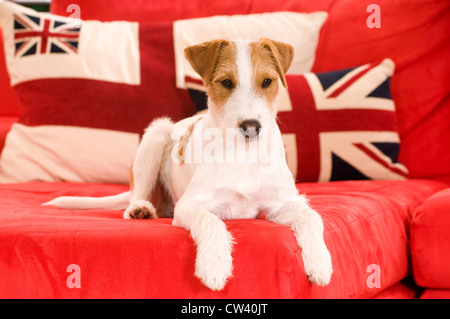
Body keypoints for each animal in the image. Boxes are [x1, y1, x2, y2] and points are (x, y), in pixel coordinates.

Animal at [44, 38, 332, 292]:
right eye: (226, 82)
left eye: (267, 82)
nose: (251, 127)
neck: (243, 153)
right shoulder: (190, 205)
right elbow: (212, 221)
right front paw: (214, 264)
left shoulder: (282, 203)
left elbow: (312, 217)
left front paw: (320, 261)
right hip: (157, 133)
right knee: (134, 199)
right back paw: (140, 209)